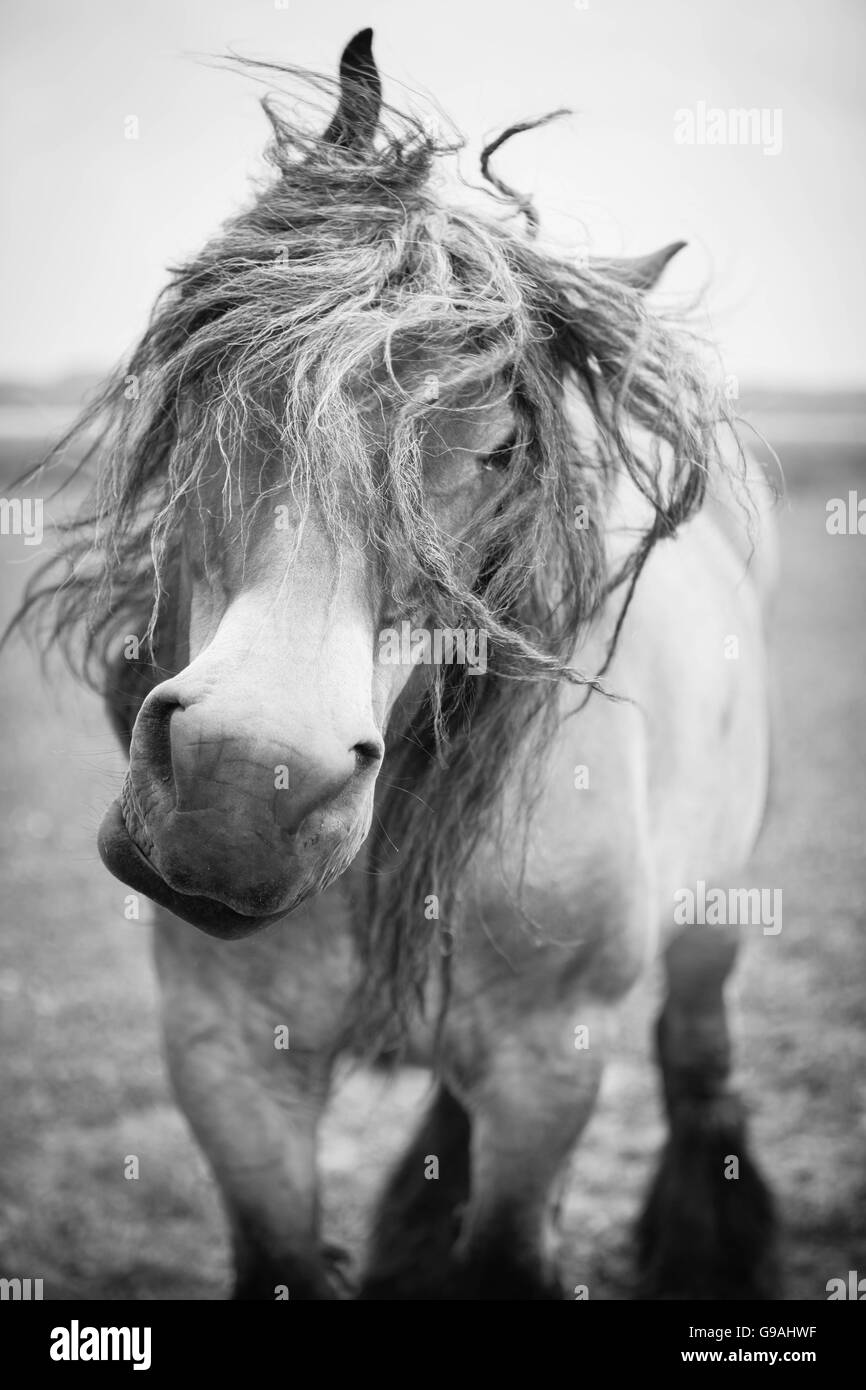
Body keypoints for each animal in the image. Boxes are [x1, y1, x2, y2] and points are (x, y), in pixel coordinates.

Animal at [14, 28, 780, 1300]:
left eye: (503, 447)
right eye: (227, 368)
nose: (242, 787)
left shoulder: (545, 1068)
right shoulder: (229, 1066)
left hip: (704, 938)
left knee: (695, 1062)